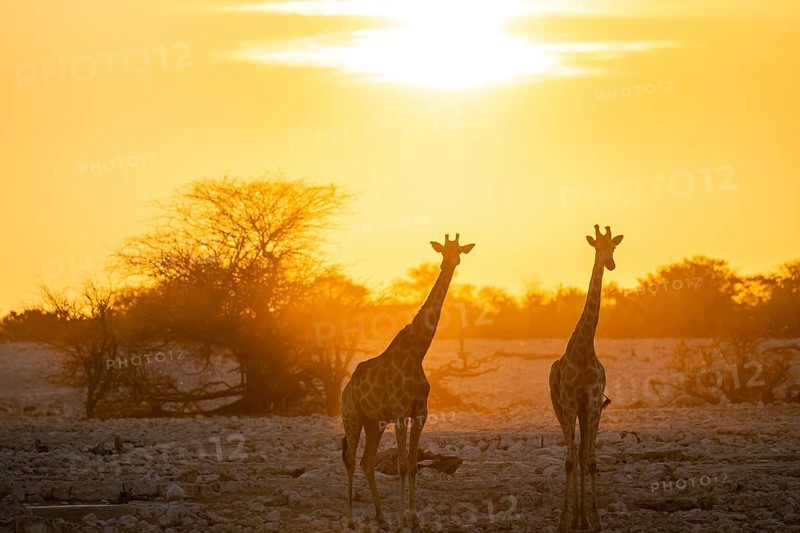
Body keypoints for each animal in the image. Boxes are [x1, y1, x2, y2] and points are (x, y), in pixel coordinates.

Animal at [341, 233, 474, 530]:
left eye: (459, 250)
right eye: (443, 251)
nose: (451, 263)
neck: (417, 353)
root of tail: (346, 388)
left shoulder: (420, 413)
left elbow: (412, 465)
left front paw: (413, 519)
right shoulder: (401, 414)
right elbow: (402, 465)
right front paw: (403, 518)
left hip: (374, 422)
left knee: (367, 462)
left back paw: (381, 518)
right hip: (352, 417)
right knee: (351, 461)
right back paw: (352, 520)